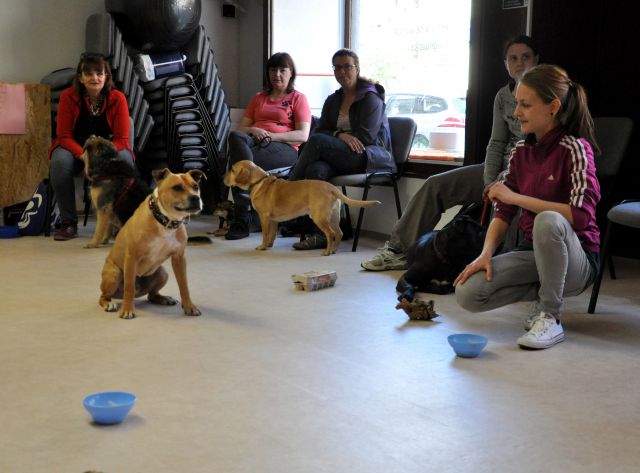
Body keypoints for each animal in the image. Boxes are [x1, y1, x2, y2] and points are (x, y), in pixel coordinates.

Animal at [97, 168, 205, 318]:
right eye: (177, 187)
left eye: (196, 186)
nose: (195, 198)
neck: (166, 221)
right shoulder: (132, 258)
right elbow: (129, 288)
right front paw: (127, 309)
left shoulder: (179, 258)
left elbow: (184, 285)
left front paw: (189, 306)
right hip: (114, 274)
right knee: (104, 295)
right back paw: (109, 304)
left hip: (162, 273)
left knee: (151, 295)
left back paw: (163, 298)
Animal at [224, 159, 380, 256]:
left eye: (232, 169)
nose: (223, 177)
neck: (258, 181)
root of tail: (331, 187)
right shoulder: (273, 220)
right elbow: (272, 235)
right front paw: (268, 245)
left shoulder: (265, 217)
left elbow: (265, 235)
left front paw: (262, 246)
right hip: (333, 218)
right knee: (339, 233)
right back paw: (334, 250)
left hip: (320, 217)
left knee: (330, 234)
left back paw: (326, 252)